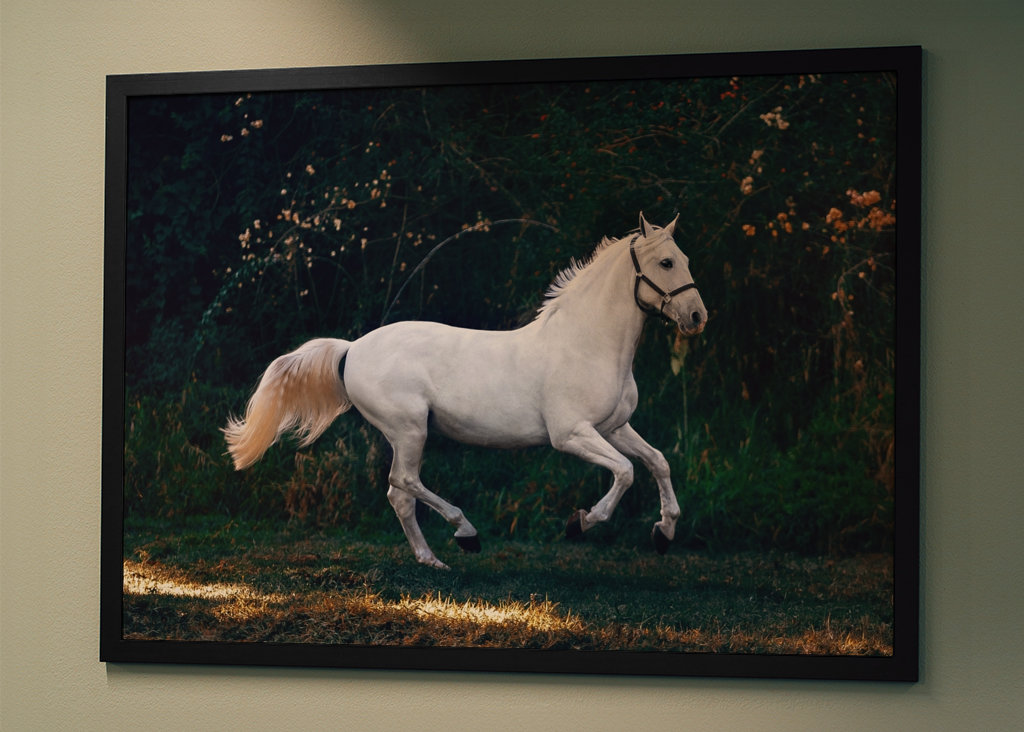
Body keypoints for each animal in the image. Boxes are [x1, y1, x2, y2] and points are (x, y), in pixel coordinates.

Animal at [223, 213, 707, 568]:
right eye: (666, 263)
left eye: (685, 257)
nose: (697, 317)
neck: (586, 344)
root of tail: (352, 349)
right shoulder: (572, 434)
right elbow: (625, 472)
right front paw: (581, 523)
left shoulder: (613, 427)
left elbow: (657, 462)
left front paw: (664, 533)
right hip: (409, 429)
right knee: (403, 482)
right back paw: (466, 534)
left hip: (408, 434)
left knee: (399, 495)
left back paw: (432, 560)